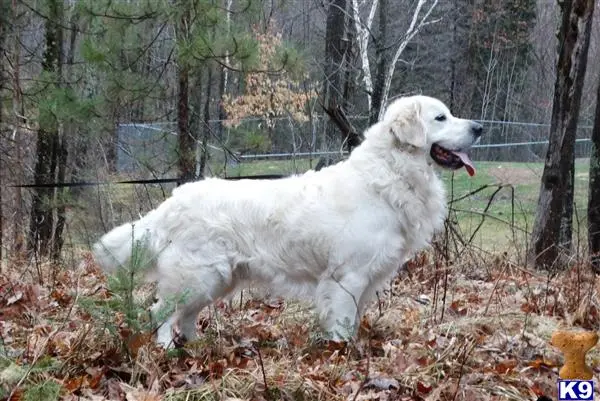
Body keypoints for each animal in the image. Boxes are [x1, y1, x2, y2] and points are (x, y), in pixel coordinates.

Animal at [95, 95, 482, 346]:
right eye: (440, 118)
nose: (478, 127)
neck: (389, 174)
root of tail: (174, 201)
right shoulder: (347, 277)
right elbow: (343, 322)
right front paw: (341, 356)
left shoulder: (367, 279)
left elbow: (355, 319)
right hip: (197, 275)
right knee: (160, 311)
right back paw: (164, 350)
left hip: (217, 279)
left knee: (186, 315)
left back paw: (196, 347)